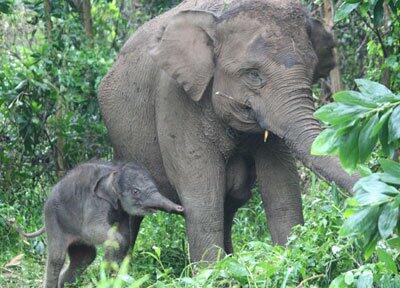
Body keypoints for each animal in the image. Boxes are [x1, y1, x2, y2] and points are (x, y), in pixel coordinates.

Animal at [34, 161, 183, 286]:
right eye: (136, 191)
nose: (180, 207)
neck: (114, 171)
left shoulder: (122, 210)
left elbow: (126, 235)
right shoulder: (94, 201)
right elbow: (94, 230)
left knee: (85, 257)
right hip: (53, 218)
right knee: (57, 259)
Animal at [97, 0, 360, 260]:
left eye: (311, 69)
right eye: (253, 74)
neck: (221, 17)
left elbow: (281, 185)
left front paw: (287, 255)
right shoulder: (175, 100)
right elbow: (202, 198)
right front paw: (210, 270)